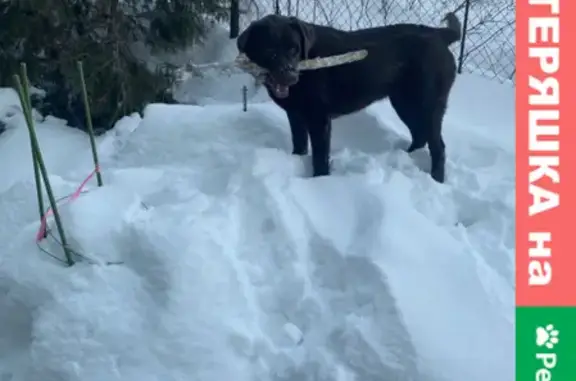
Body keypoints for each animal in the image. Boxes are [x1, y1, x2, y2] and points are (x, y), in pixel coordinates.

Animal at [236, 13, 462, 183]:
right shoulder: (296, 116)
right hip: (404, 103)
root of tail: (439, 34)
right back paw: (407, 157)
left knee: (438, 146)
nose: (291, 76)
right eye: (269, 51)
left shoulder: (319, 119)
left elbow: (320, 157)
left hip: (426, 104)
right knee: (420, 135)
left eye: (294, 49)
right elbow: (299, 145)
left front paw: (319, 181)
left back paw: (436, 179)